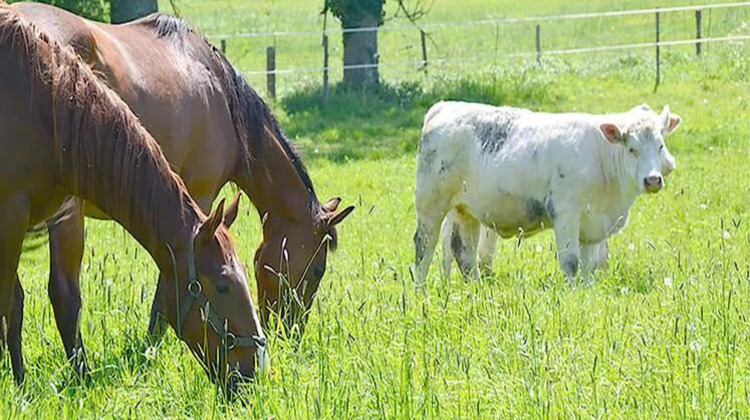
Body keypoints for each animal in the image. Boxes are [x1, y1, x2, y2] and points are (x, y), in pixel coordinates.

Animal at [13, 1, 356, 340]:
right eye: (318, 269)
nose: (290, 332)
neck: (222, 94)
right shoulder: (199, 200)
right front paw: (153, 342)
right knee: (64, 292)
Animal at [414, 101, 684, 286]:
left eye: (660, 145)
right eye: (631, 149)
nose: (653, 179)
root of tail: (445, 107)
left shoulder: (593, 224)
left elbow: (590, 265)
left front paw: (587, 292)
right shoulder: (567, 214)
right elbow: (571, 262)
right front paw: (572, 295)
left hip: (465, 210)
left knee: (464, 252)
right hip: (431, 205)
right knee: (425, 247)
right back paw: (421, 293)